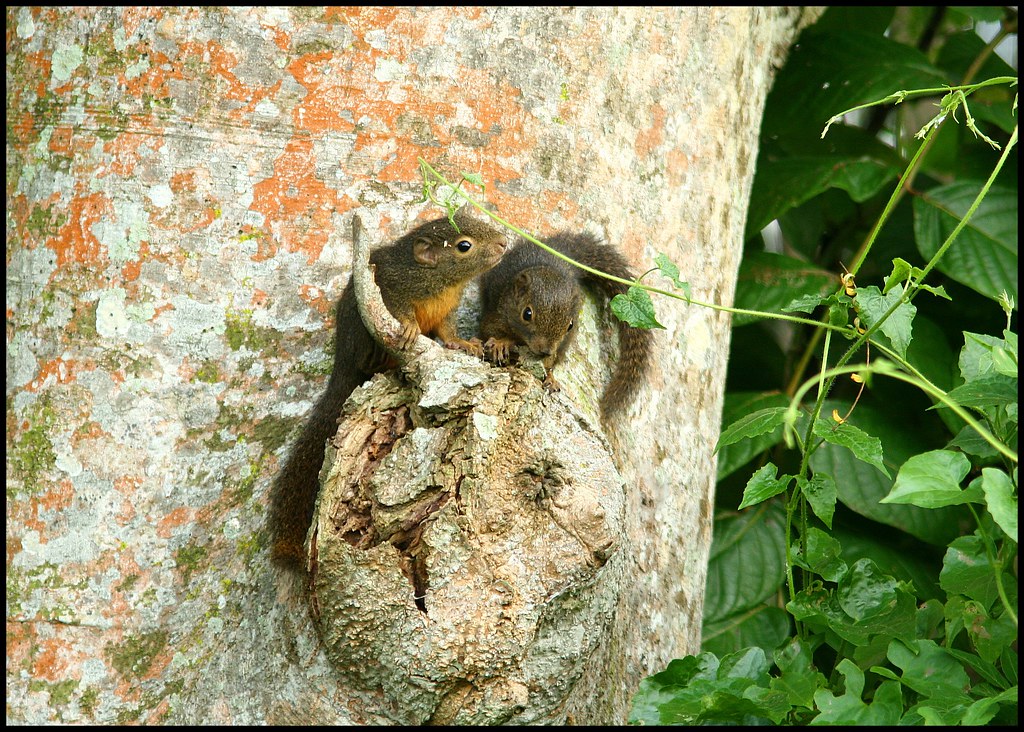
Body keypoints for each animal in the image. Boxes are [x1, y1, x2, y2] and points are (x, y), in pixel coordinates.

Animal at [268, 208, 508, 571]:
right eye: (464, 245)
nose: (504, 242)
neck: (438, 281)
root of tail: (343, 368)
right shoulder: (392, 287)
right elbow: (402, 312)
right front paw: (408, 328)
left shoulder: (445, 312)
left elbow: (447, 332)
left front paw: (464, 343)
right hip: (363, 345)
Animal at [479, 232, 653, 421]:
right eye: (527, 314)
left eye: (570, 325)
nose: (545, 351)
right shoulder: (495, 314)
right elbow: (490, 332)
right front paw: (501, 343)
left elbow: (550, 362)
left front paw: (550, 375)